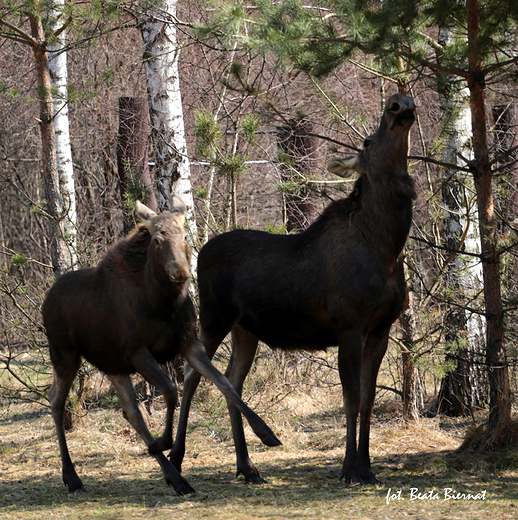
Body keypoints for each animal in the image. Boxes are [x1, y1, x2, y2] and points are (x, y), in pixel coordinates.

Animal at [42, 196, 282, 496]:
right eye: (157, 239)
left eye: (184, 235)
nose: (180, 271)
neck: (164, 302)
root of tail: (46, 298)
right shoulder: (138, 351)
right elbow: (170, 390)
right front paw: (164, 442)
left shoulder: (188, 342)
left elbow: (224, 383)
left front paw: (265, 432)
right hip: (65, 355)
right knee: (55, 400)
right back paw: (72, 476)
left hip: (111, 364)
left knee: (130, 412)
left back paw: (174, 476)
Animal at [173, 94, 420, 488]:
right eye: (367, 142)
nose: (399, 102)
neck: (387, 247)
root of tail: (197, 254)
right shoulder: (349, 326)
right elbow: (351, 400)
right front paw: (349, 469)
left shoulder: (380, 330)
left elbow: (367, 400)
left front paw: (368, 468)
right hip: (214, 316)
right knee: (193, 373)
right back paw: (179, 459)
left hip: (245, 329)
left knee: (232, 379)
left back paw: (247, 466)